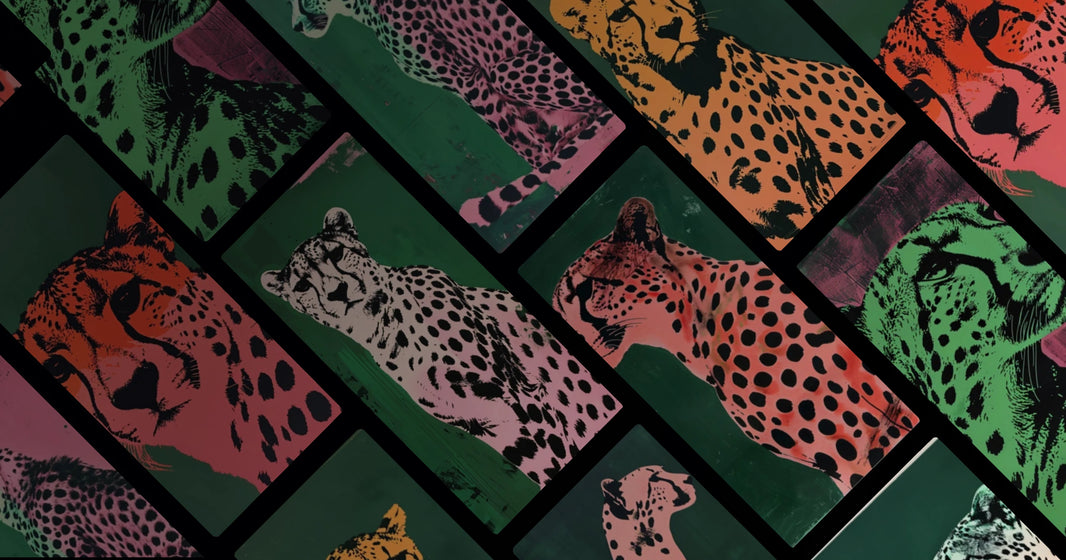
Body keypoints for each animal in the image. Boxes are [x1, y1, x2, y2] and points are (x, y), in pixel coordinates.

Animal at [260, 207, 619, 487]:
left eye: (335, 254)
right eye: (302, 285)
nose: (338, 291)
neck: (384, 329)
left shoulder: (516, 394)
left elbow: (558, 449)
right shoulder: (491, 424)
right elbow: (548, 461)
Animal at [288, 0, 624, 229]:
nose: (294, 27)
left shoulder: (467, 79)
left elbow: (517, 139)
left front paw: (553, 169)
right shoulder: (468, 84)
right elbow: (530, 130)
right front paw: (554, 159)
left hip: (505, 73)